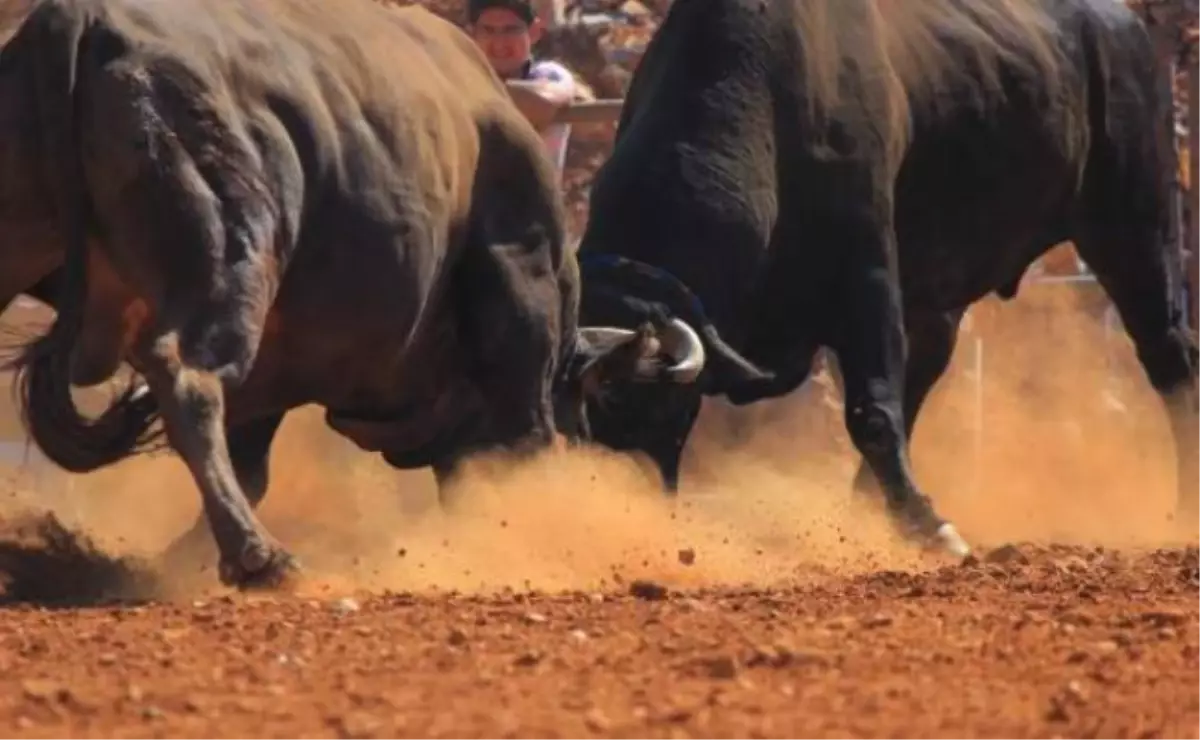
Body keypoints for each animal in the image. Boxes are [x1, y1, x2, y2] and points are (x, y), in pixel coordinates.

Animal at [0, 0, 715, 587]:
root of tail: (83, 21)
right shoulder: (523, 301)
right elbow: (528, 440)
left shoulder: (279, 370)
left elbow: (252, 462)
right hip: (232, 262)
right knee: (189, 381)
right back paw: (262, 557)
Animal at [576, 0, 1195, 554]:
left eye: (642, 402)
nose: (612, 503)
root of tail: (1122, 24)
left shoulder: (868, 282)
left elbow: (872, 411)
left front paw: (934, 529)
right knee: (925, 370)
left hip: (1135, 230)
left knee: (1168, 357)